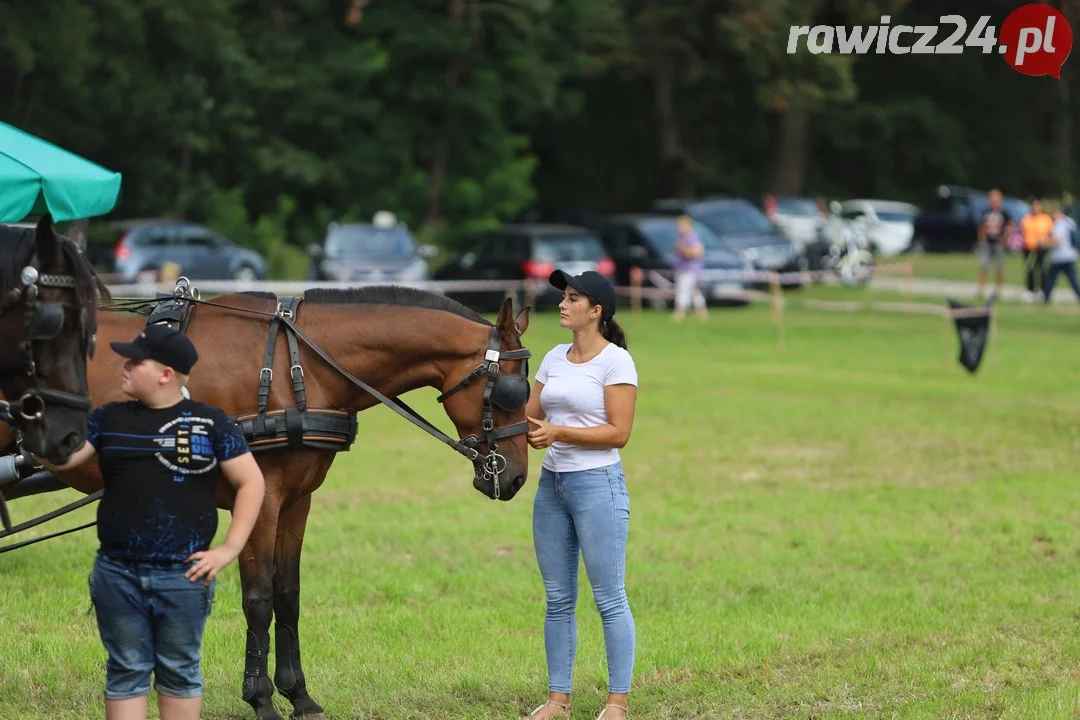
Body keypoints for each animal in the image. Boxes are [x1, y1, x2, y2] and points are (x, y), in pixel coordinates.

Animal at [2, 284, 533, 716]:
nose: (515, 477)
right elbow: (257, 599)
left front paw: (299, 695)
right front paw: (260, 700)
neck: (296, 365)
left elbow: (287, 594)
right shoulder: (259, 499)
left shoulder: (296, 501)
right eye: (512, 390)